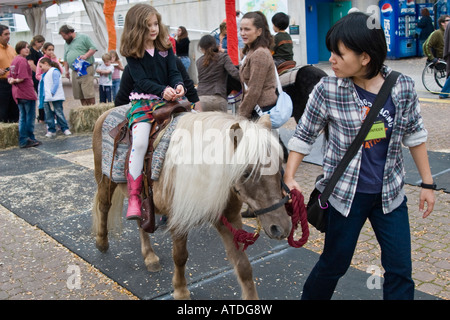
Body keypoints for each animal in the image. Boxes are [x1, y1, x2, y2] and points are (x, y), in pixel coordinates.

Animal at [93, 110, 294, 300]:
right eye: (246, 172)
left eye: (280, 165)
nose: (281, 228)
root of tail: (105, 114)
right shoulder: (179, 221)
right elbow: (180, 256)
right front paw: (181, 291)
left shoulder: (229, 219)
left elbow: (243, 265)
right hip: (105, 181)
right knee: (104, 206)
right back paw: (102, 242)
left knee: (141, 221)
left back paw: (149, 256)